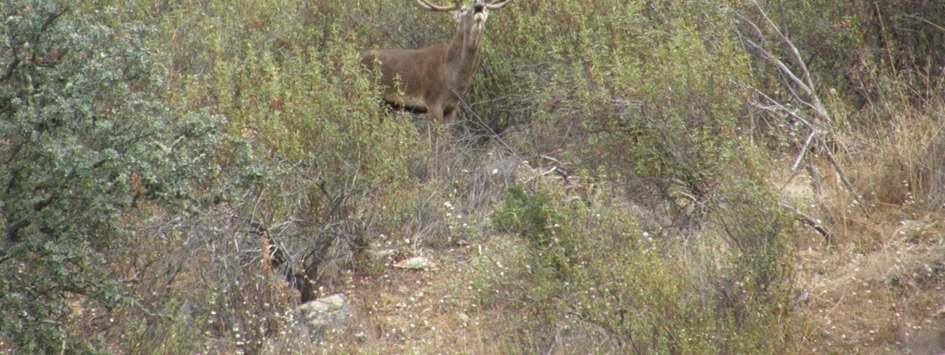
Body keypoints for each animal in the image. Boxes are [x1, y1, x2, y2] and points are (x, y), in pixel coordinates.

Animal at [360, 0, 516, 124]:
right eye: (463, 10)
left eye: (487, 9)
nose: (479, 6)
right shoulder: (432, 102)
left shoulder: (452, 107)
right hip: (372, 95)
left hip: (385, 104)